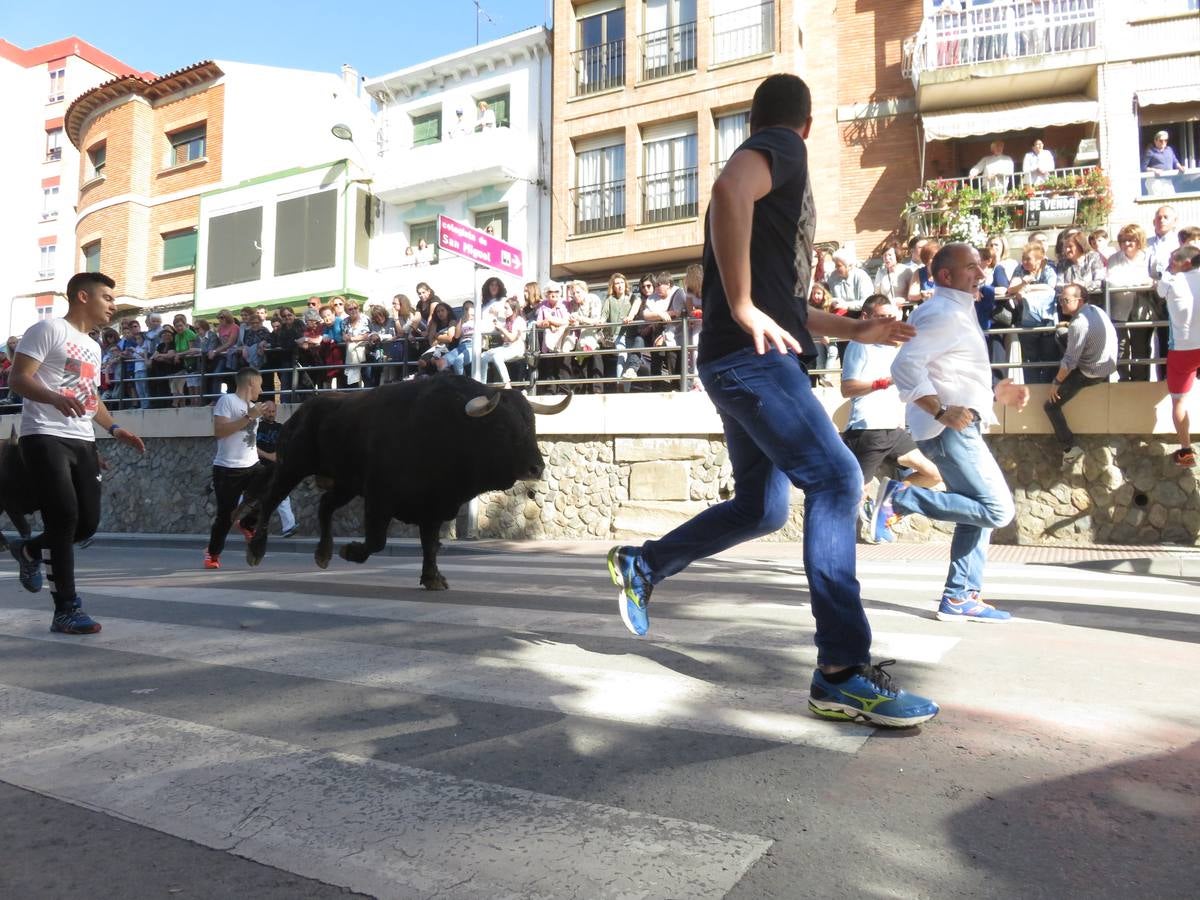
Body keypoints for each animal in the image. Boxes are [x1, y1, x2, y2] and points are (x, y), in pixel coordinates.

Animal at [241, 374, 568, 592]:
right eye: (501, 428)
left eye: (531, 424)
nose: (536, 468)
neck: (450, 427)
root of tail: (302, 410)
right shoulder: (379, 498)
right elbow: (377, 540)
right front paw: (351, 552)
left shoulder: (435, 507)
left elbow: (430, 545)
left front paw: (433, 578)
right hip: (292, 467)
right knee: (271, 500)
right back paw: (256, 551)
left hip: (345, 483)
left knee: (324, 506)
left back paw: (322, 554)